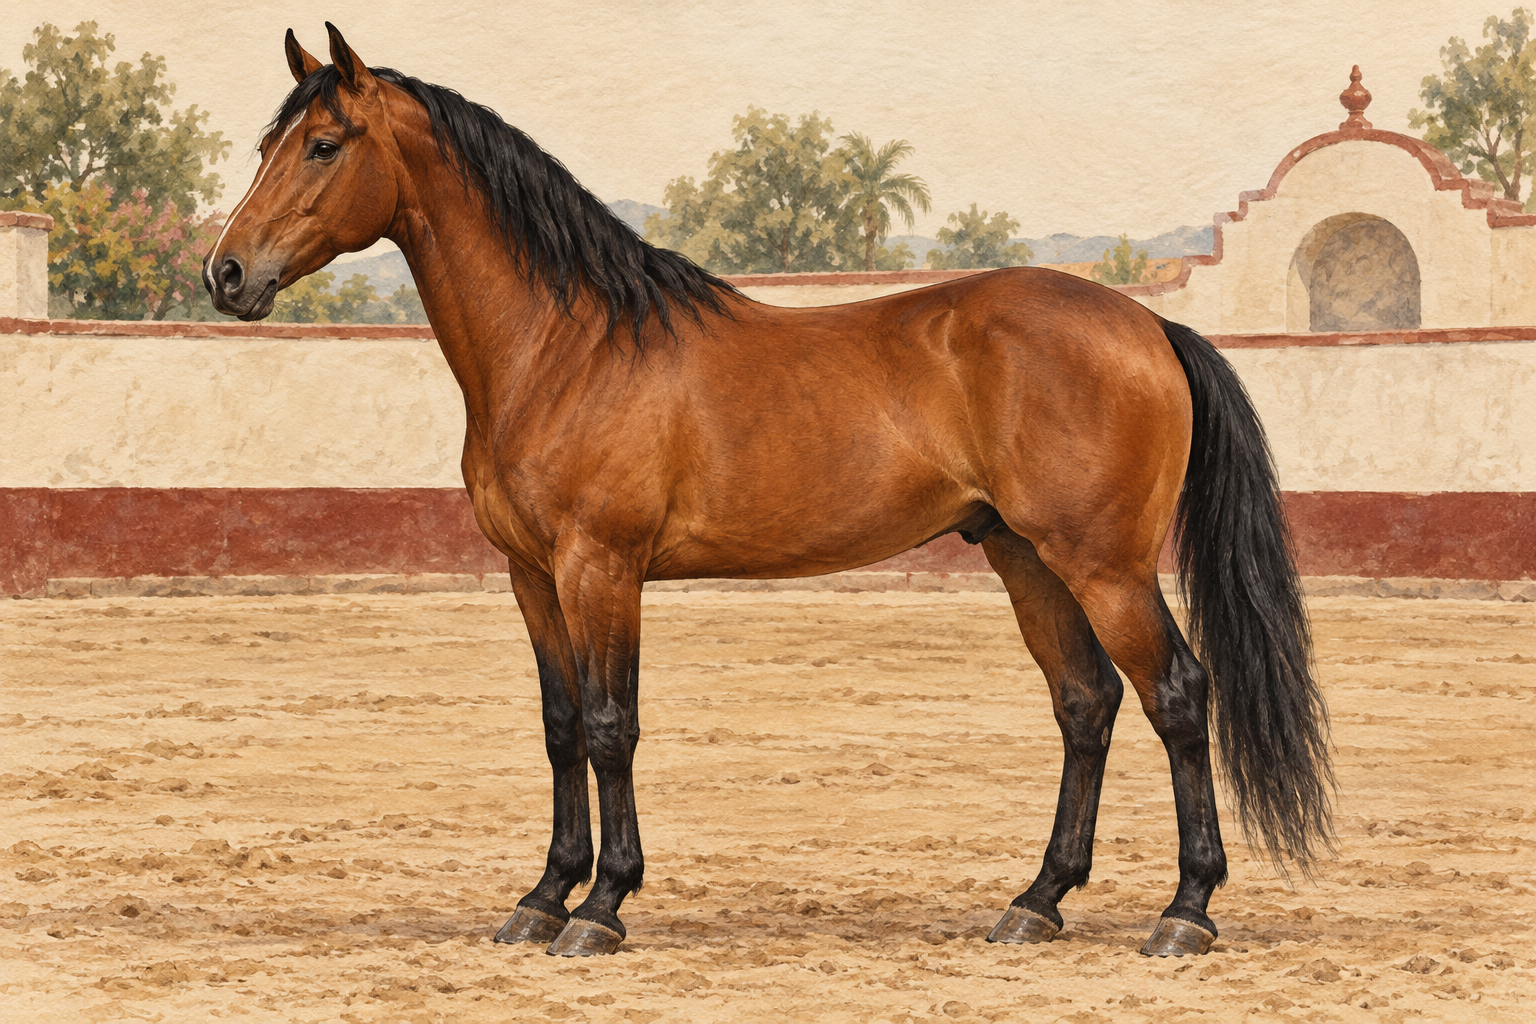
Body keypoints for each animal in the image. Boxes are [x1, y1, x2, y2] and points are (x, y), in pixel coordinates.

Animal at [205, 24, 1334, 958]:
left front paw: (601, 909)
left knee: (1176, 695)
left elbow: (612, 724)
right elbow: (562, 726)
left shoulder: (601, 568)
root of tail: (1148, 325)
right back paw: (1036, 902)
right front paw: (541, 899)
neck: (565, 348)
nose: (226, 274)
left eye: (324, 144)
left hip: (1104, 565)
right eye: (270, 145)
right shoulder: (532, 576)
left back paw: (1185, 912)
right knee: (1086, 703)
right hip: (1027, 558)